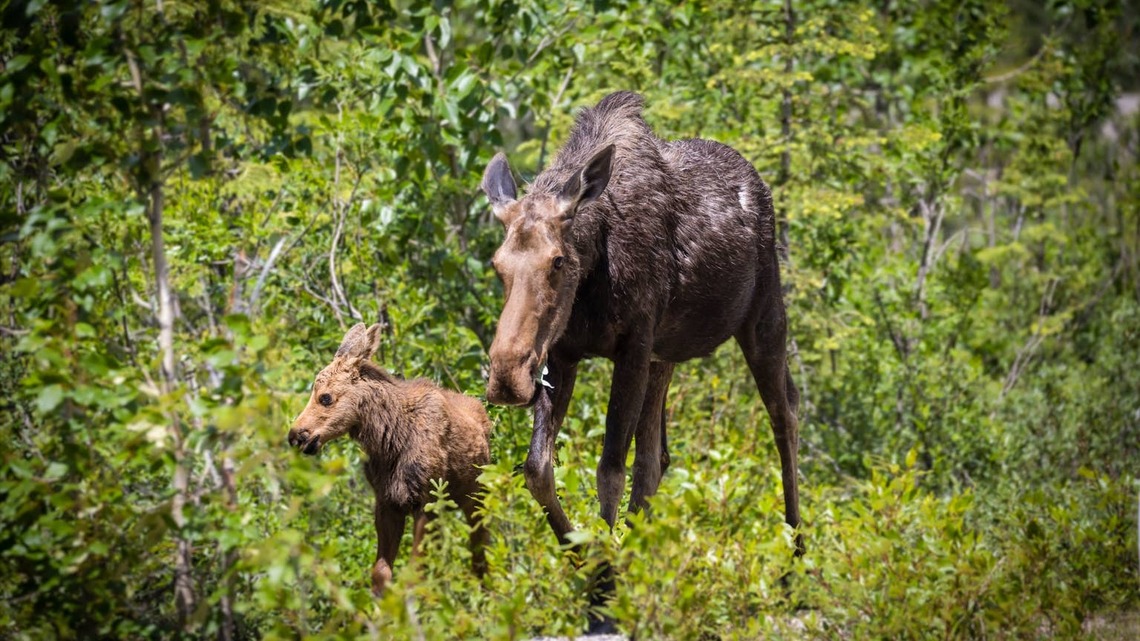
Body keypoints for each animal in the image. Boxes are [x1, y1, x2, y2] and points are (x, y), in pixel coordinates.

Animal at [287, 322, 491, 596]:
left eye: (325, 397)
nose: (296, 435)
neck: (389, 439)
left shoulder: (425, 499)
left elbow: (414, 575)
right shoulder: (386, 502)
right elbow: (381, 574)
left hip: (475, 495)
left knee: (480, 548)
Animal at [480, 91, 802, 633]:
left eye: (558, 261)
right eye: (498, 265)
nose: (508, 376)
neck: (594, 263)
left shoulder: (630, 346)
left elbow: (609, 466)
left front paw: (604, 593)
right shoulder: (563, 353)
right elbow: (539, 468)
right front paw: (591, 564)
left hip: (763, 319)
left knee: (786, 418)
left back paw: (795, 562)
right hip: (664, 355)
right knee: (656, 457)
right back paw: (642, 559)